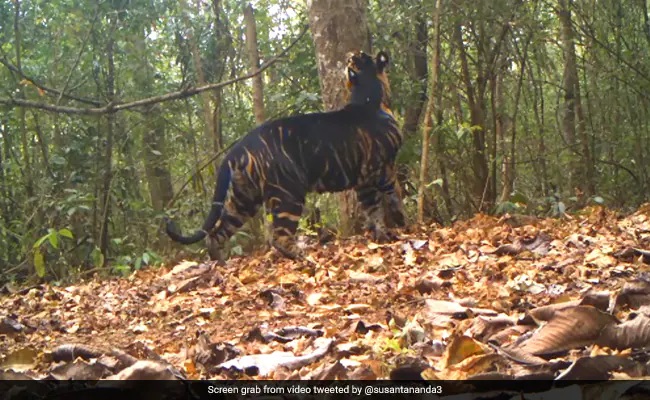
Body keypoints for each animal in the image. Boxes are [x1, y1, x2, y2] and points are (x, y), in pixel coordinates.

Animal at [165, 50, 402, 260]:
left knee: (216, 233)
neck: (368, 96)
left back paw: (221, 264)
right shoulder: (382, 169)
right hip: (289, 193)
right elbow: (392, 198)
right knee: (278, 238)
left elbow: (373, 209)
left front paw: (380, 235)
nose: (349, 54)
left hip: (243, 198)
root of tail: (238, 147)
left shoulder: (364, 180)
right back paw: (305, 258)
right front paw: (401, 227)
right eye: (361, 55)